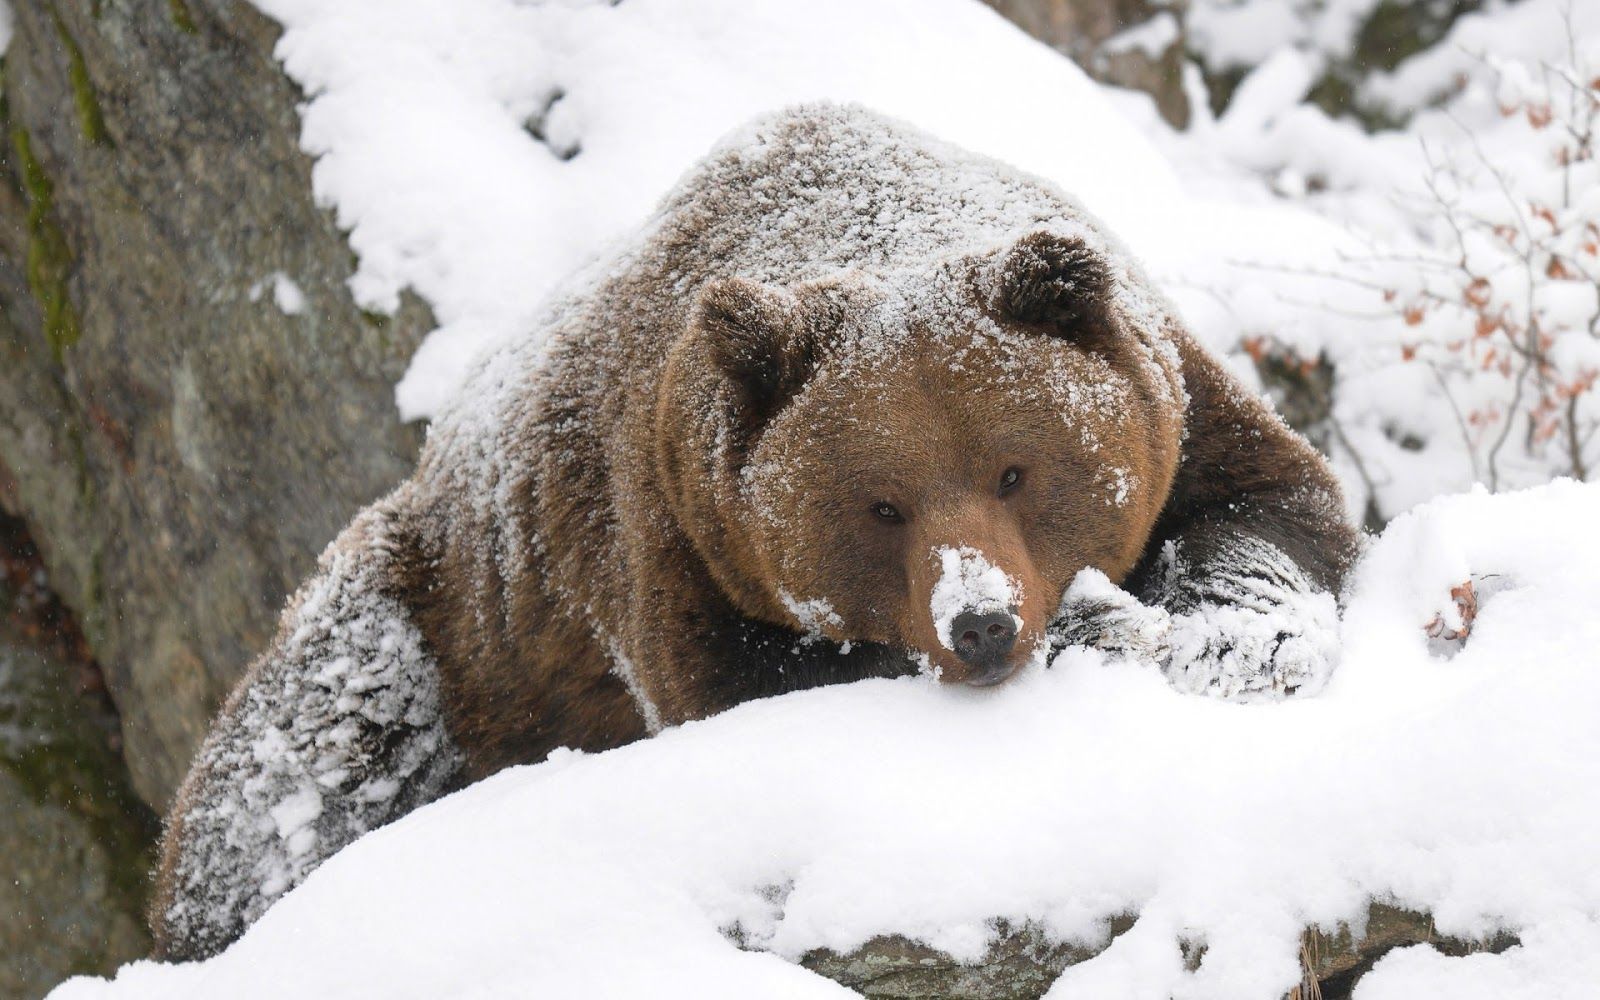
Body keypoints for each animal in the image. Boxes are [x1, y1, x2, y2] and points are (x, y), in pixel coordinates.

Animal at [149, 104, 1359, 960]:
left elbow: (1272, 507)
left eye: (1015, 469)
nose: (979, 623)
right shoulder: (673, 534)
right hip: (441, 622)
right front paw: (1097, 628)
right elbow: (752, 684)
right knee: (297, 768)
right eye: (880, 503)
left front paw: (1235, 638)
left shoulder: (1177, 401)